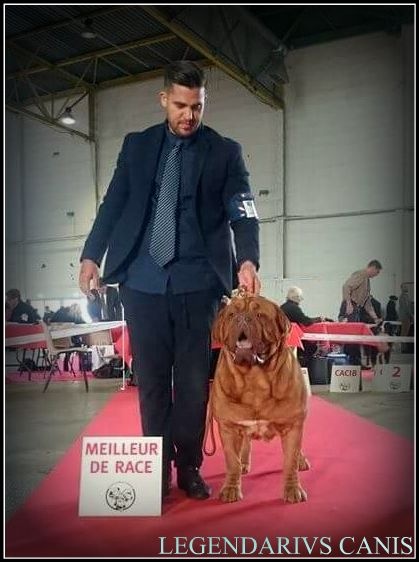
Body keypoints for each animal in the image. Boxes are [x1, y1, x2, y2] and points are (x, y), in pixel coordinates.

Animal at [210, 291, 310, 503]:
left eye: (259, 315)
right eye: (232, 315)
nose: (242, 318)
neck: (254, 378)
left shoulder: (292, 425)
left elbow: (290, 462)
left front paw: (293, 490)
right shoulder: (228, 427)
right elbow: (232, 461)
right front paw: (231, 488)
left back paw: (301, 461)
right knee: (245, 445)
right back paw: (244, 463)